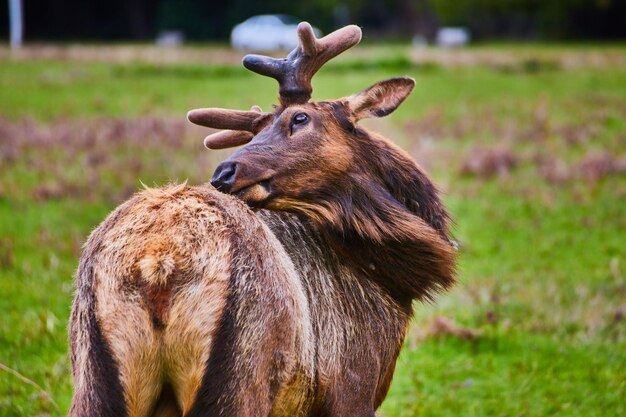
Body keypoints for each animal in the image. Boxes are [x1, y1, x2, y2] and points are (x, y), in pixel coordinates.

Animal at [69, 22, 454, 416]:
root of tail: (157, 260)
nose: (223, 173)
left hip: (92, 377)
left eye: (300, 118)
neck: (391, 282)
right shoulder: (354, 382)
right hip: (241, 374)